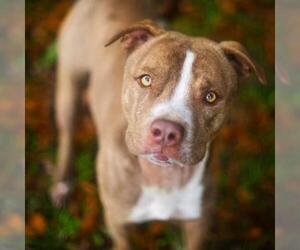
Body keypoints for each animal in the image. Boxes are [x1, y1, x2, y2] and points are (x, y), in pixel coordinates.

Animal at [50, 0, 266, 249]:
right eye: (146, 79)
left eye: (211, 97)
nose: (166, 131)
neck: (163, 178)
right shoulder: (117, 221)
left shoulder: (198, 224)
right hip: (70, 83)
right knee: (67, 132)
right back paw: (62, 184)